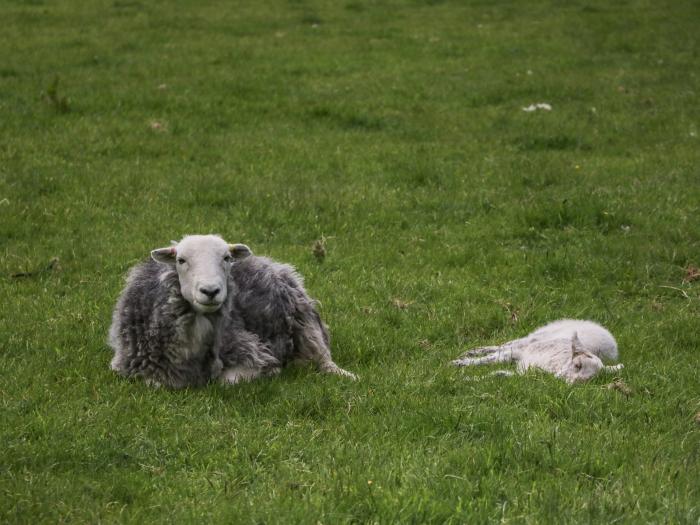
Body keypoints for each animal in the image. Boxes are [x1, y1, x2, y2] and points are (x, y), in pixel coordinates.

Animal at [108, 235, 356, 386]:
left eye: (226, 258)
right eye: (181, 260)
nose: (210, 291)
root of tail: (272, 263)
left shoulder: (250, 350)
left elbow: (228, 380)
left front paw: (273, 372)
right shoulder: (127, 367)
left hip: (305, 323)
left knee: (323, 360)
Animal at [448, 318, 624, 382]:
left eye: (587, 380)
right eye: (577, 365)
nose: (564, 381)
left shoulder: (523, 372)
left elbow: (499, 374)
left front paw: (469, 378)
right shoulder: (521, 352)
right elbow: (488, 359)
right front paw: (459, 364)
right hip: (533, 338)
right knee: (502, 346)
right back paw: (473, 351)